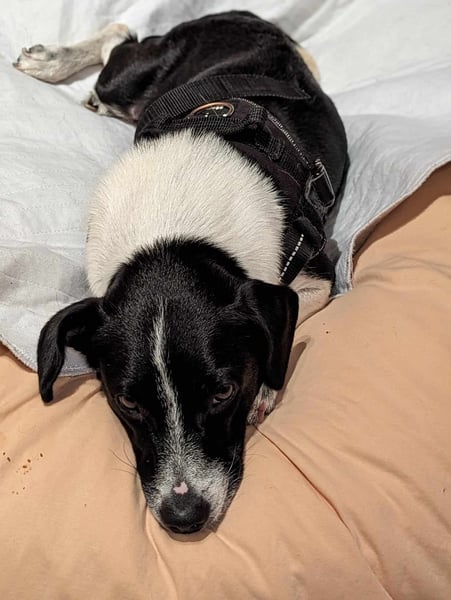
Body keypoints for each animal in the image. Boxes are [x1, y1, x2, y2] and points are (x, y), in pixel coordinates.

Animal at [14, 11, 348, 534]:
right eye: (127, 403)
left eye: (224, 392)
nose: (184, 517)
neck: (174, 232)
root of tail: (247, 16)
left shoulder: (315, 274)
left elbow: (285, 326)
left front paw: (264, 389)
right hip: (130, 80)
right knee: (119, 39)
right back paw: (54, 63)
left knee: (121, 37)